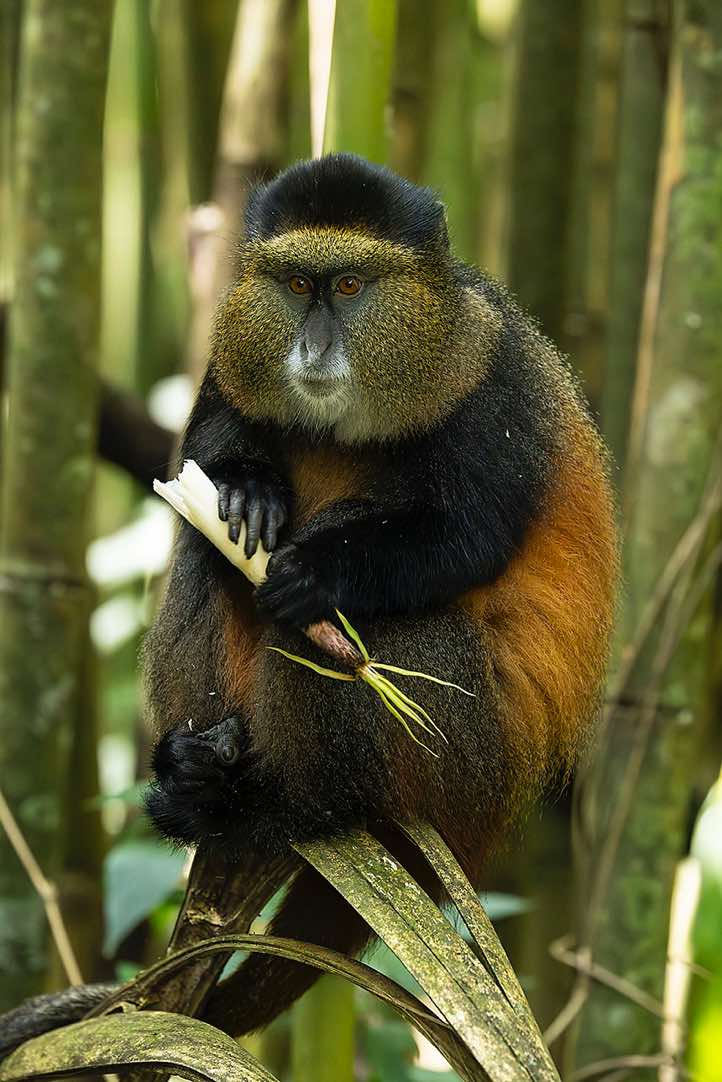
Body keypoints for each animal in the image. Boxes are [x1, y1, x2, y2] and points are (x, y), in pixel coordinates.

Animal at [0, 153, 617, 1056]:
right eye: (296, 285)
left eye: (351, 285)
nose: (313, 344)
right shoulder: (229, 361)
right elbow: (208, 467)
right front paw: (251, 491)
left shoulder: (496, 389)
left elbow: (464, 538)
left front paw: (316, 574)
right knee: (203, 564)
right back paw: (198, 780)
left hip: (463, 749)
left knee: (368, 644)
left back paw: (288, 807)